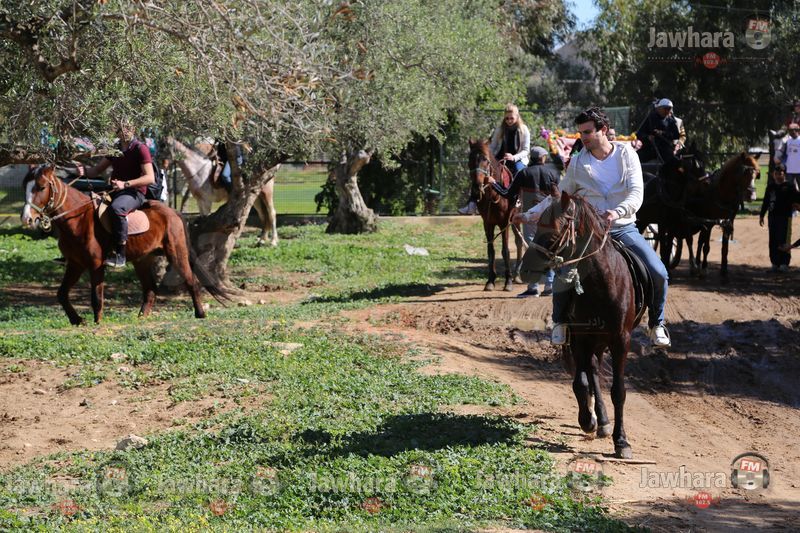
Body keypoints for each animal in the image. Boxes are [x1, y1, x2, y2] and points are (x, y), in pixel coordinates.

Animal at [22, 165, 227, 324]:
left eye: (41, 187)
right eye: (25, 187)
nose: (27, 219)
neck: (78, 219)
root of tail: (173, 212)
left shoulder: (96, 265)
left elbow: (96, 298)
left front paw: (97, 322)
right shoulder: (75, 264)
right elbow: (62, 294)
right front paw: (77, 320)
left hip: (176, 252)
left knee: (191, 280)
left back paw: (200, 313)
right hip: (142, 260)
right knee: (150, 289)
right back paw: (141, 317)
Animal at [467, 139, 525, 291]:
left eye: (486, 160)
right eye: (470, 159)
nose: (476, 189)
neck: (493, 194)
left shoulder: (504, 222)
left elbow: (505, 251)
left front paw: (508, 281)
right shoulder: (487, 223)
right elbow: (491, 250)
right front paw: (490, 281)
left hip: (516, 218)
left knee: (519, 242)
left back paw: (517, 275)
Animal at [526, 188, 639, 459]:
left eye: (554, 230)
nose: (525, 267)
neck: (602, 282)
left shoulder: (621, 339)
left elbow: (618, 391)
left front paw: (622, 441)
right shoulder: (580, 337)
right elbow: (581, 382)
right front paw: (587, 419)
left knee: (595, 370)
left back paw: (605, 422)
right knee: (592, 372)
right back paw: (600, 420)